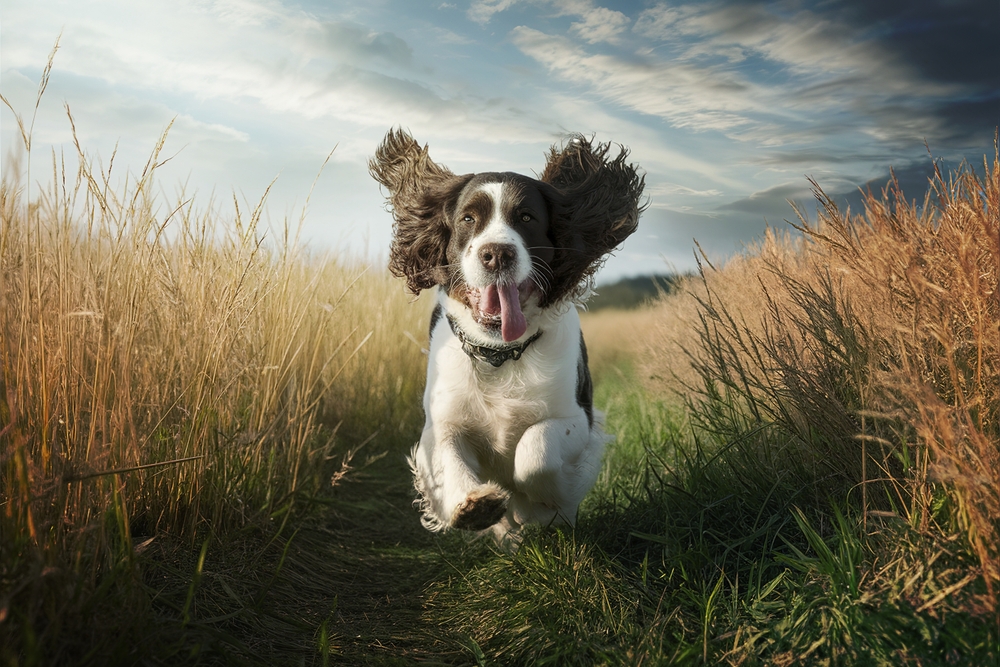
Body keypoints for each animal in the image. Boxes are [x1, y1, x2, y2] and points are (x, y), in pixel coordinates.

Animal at [372, 130, 644, 544]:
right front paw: (473, 505)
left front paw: (545, 506)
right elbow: (448, 457)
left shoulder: (578, 419)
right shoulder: (440, 421)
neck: (500, 354)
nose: (497, 254)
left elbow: (536, 450)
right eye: (468, 218)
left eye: (527, 218)